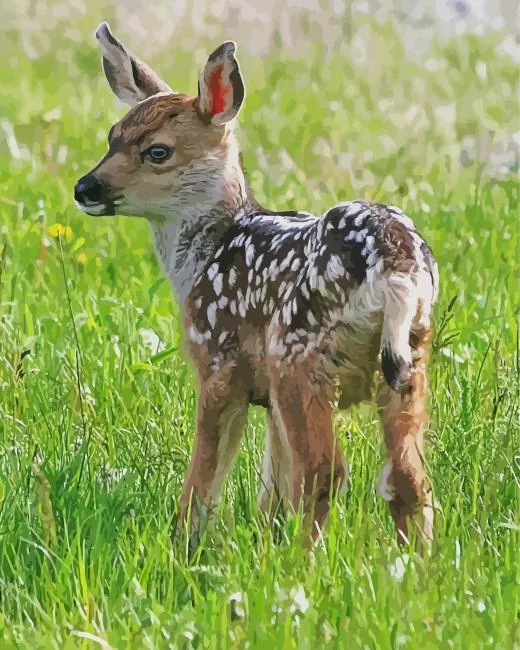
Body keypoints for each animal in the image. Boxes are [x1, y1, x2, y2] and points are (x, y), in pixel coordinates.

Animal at [74, 22, 439, 547]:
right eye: (112, 137)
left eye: (157, 151)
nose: (85, 188)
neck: (203, 260)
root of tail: (395, 264)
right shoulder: (267, 396)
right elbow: (272, 484)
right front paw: (265, 540)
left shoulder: (220, 362)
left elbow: (207, 470)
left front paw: (184, 540)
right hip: (410, 356)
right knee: (408, 476)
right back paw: (414, 561)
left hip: (300, 352)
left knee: (325, 470)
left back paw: (304, 559)